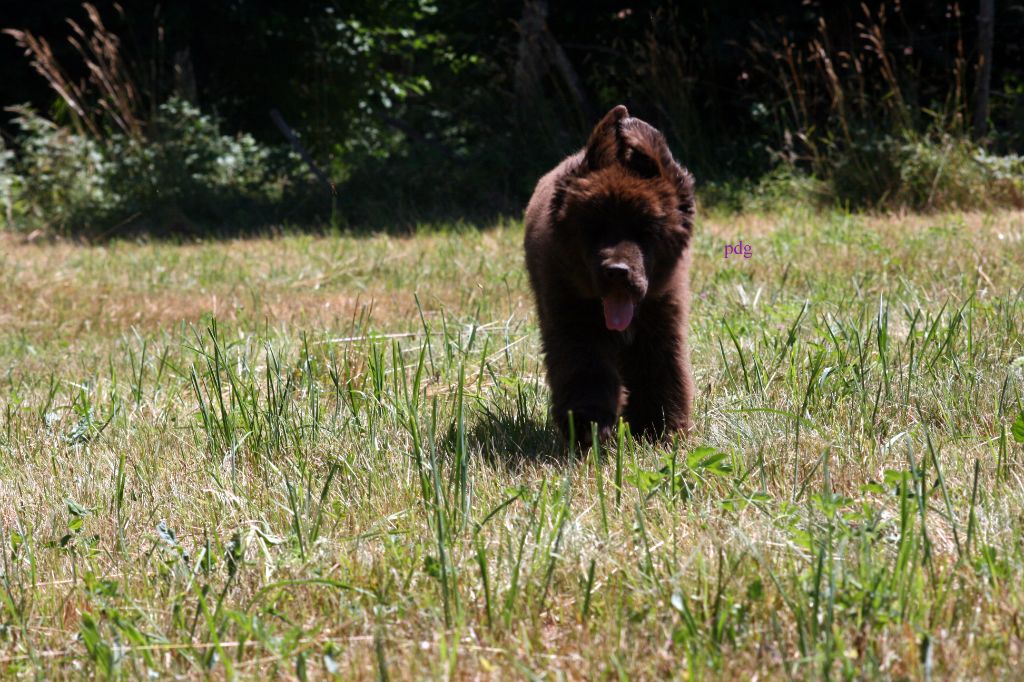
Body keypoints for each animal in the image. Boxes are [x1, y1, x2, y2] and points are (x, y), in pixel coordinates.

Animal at [528, 104, 696, 446]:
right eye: (594, 229)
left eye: (647, 230)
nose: (618, 271)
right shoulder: (573, 323)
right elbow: (586, 372)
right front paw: (587, 428)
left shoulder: (661, 320)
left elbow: (661, 372)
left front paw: (661, 430)